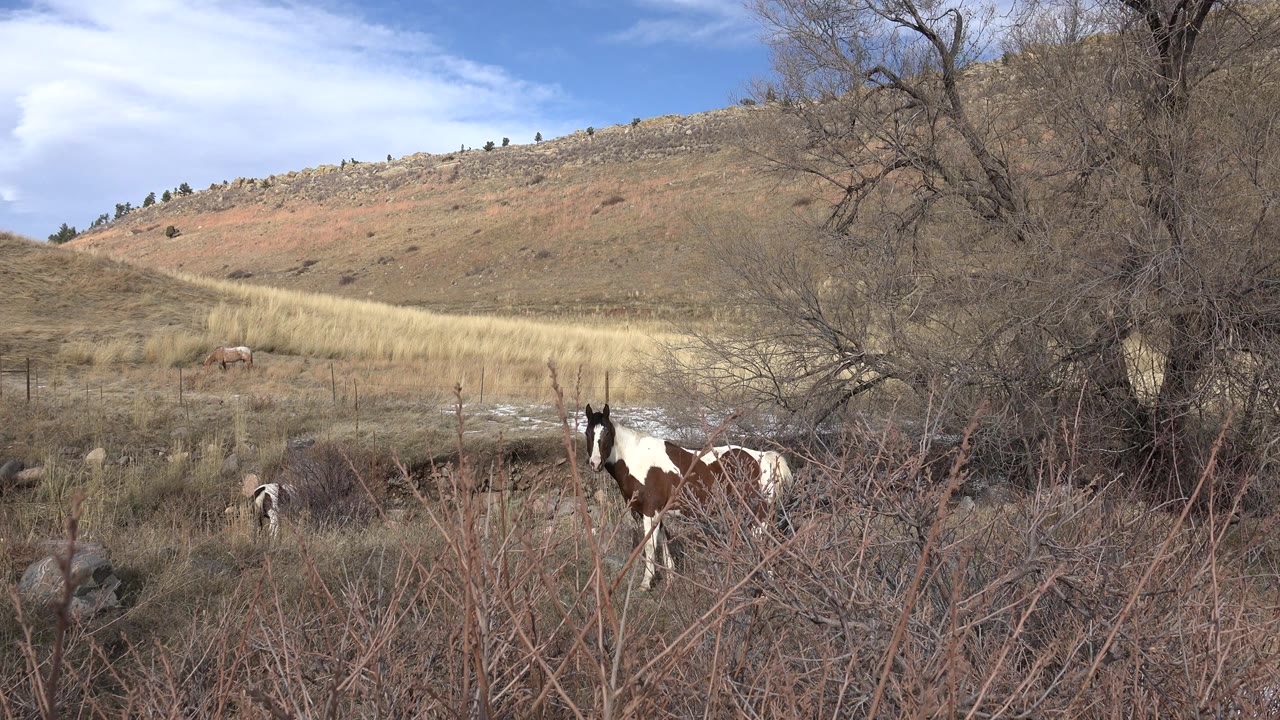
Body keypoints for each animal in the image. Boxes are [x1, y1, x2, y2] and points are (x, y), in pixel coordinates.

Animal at [583, 403, 793, 590]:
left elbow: (650, 546)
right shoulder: (657, 512)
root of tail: (766, 458)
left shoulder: (649, 512)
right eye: (587, 433)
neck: (636, 459)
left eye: (606, 433)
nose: (595, 463)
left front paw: (646, 583)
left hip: (759, 516)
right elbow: (664, 541)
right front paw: (670, 580)